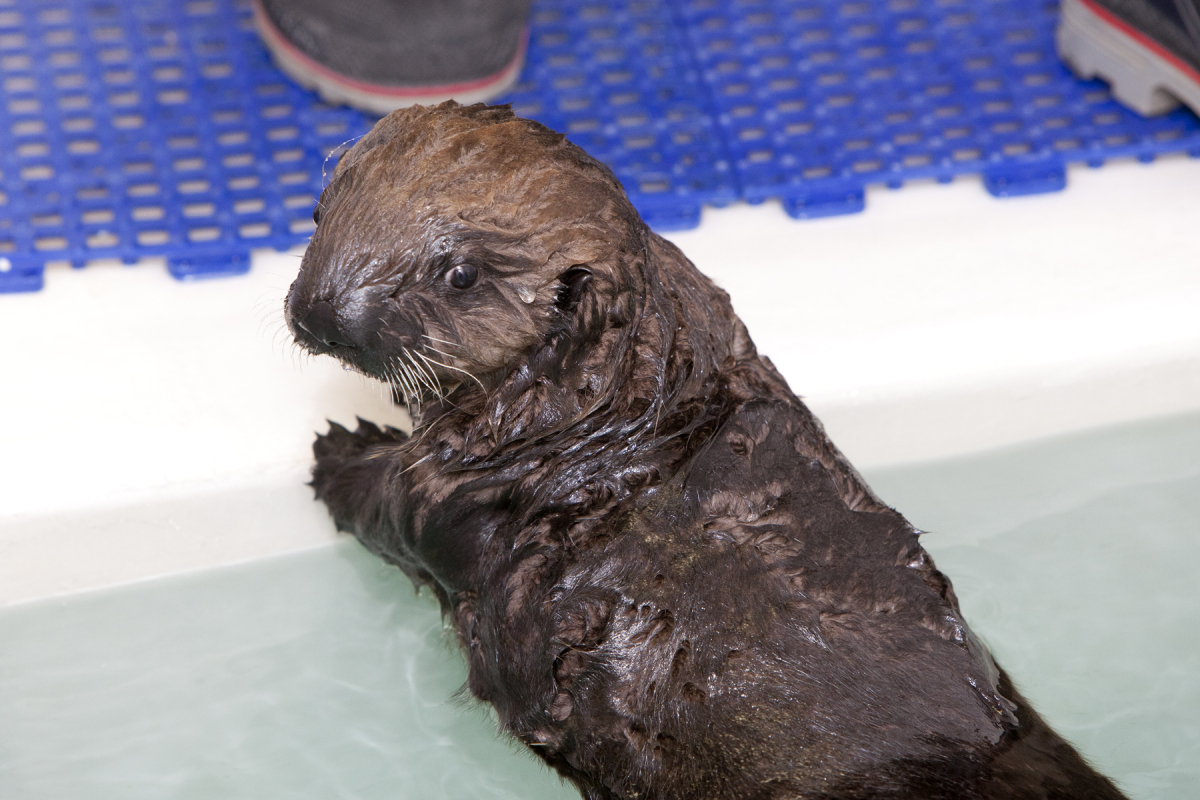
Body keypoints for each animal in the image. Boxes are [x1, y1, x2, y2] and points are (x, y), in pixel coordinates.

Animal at [284, 102, 1128, 800]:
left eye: (458, 274)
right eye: (320, 209)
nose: (322, 311)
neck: (619, 417)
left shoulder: (449, 496)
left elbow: (387, 507)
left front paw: (340, 448)